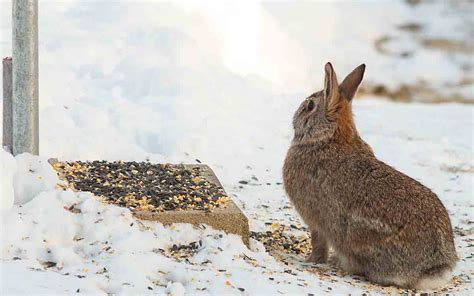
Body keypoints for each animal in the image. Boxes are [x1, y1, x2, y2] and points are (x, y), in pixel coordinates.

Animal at [284, 61, 458, 290]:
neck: (327, 138)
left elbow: (318, 243)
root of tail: (434, 269)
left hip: (359, 238)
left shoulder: (314, 220)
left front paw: (310, 260)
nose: (294, 118)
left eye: (310, 106)